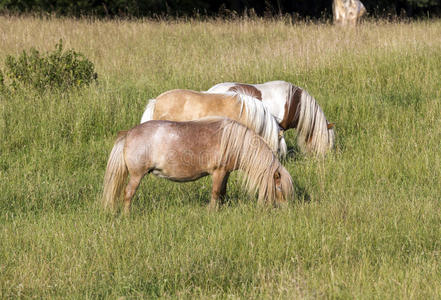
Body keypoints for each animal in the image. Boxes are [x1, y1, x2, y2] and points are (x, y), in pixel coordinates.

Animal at [100, 117, 292, 213]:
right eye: (279, 188)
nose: (285, 209)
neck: (235, 142)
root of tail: (129, 133)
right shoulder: (218, 172)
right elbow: (215, 193)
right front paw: (211, 213)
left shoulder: (225, 173)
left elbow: (222, 192)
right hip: (136, 175)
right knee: (128, 194)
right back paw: (127, 215)